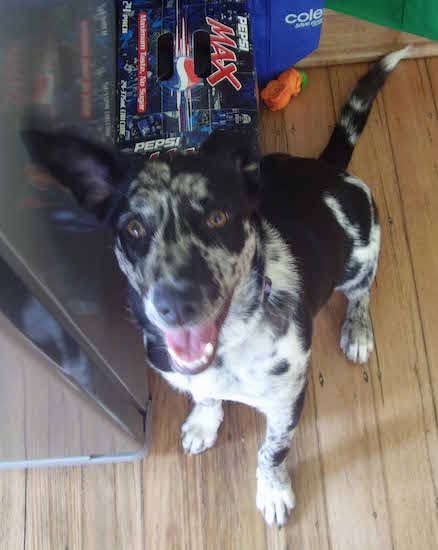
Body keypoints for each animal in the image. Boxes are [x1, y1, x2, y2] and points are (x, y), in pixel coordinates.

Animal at [23, 48, 408, 532]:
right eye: (133, 228)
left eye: (219, 217)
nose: (176, 304)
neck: (228, 349)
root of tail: (330, 169)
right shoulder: (191, 377)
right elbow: (206, 397)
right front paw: (204, 424)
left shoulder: (286, 402)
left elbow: (272, 452)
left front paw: (273, 493)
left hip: (359, 262)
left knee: (360, 294)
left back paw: (357, 331)